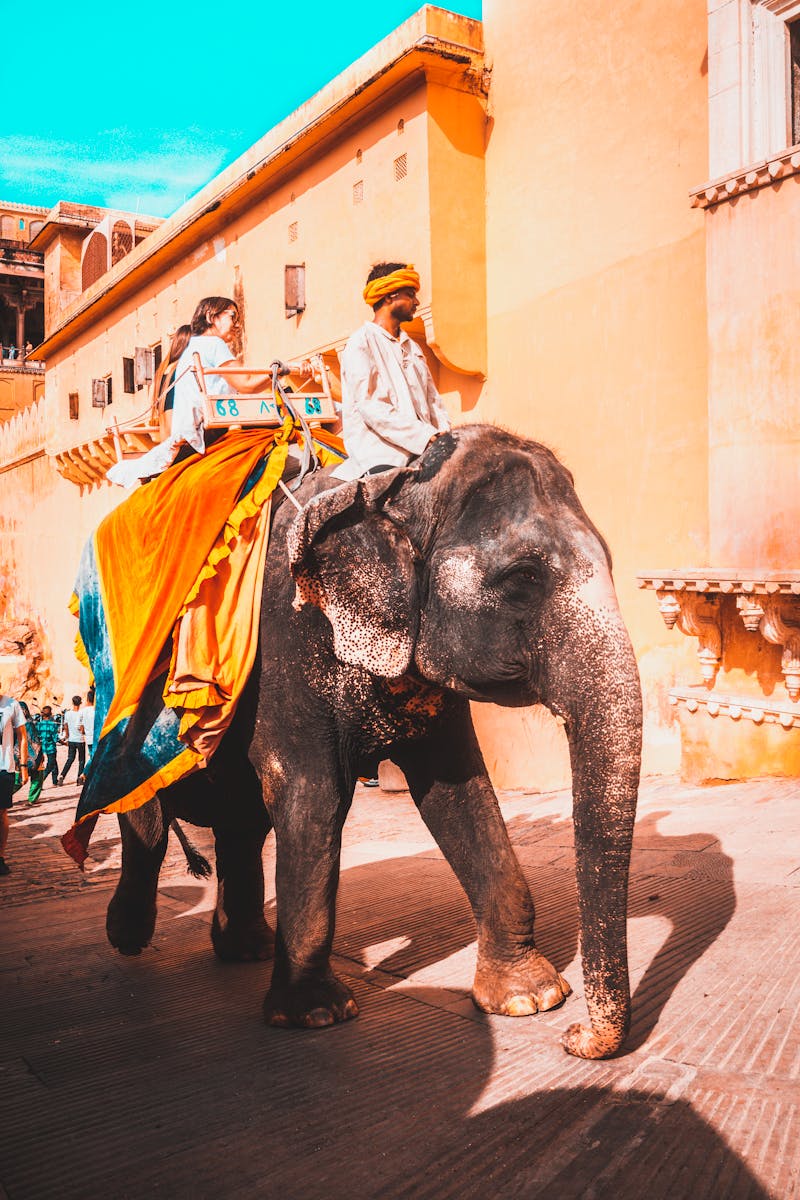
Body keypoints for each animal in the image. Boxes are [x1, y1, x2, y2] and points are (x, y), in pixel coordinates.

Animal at [107, 424, 642, 1060]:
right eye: (522, 579)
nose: (574, 1039)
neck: (395, 486)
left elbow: (460, 793)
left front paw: (528, 998)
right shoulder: (288, 645)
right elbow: (312, 794)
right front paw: (316, 1015)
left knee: (243, 821)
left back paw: (245, 949)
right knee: (147, 820)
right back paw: (129, 937)